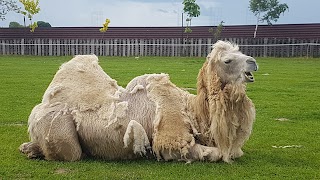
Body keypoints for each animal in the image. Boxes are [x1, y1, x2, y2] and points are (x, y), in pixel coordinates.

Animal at [19, 40, 258, 162]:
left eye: (240, 52)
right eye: (227, 60)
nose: (253, 62)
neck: (192, 110)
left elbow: (231, 151)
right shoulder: (171, 142)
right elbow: (216, 154)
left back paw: (27, 148)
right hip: (57, 125)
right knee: (71, 154)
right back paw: (32, 149)